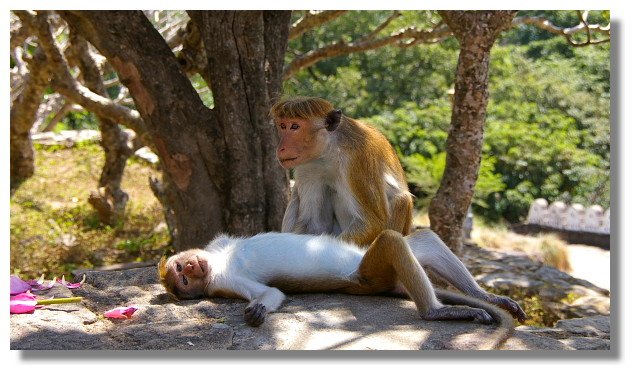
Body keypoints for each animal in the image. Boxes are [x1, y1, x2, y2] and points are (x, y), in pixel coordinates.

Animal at [270, 97, 528, 324]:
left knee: (402, 206)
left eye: (295, 126)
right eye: (282, 125)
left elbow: (373, 220)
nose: (280, 147)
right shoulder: (307, 167)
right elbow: (312, 223)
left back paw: (475, 299)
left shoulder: (358, 158)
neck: (329, 150)